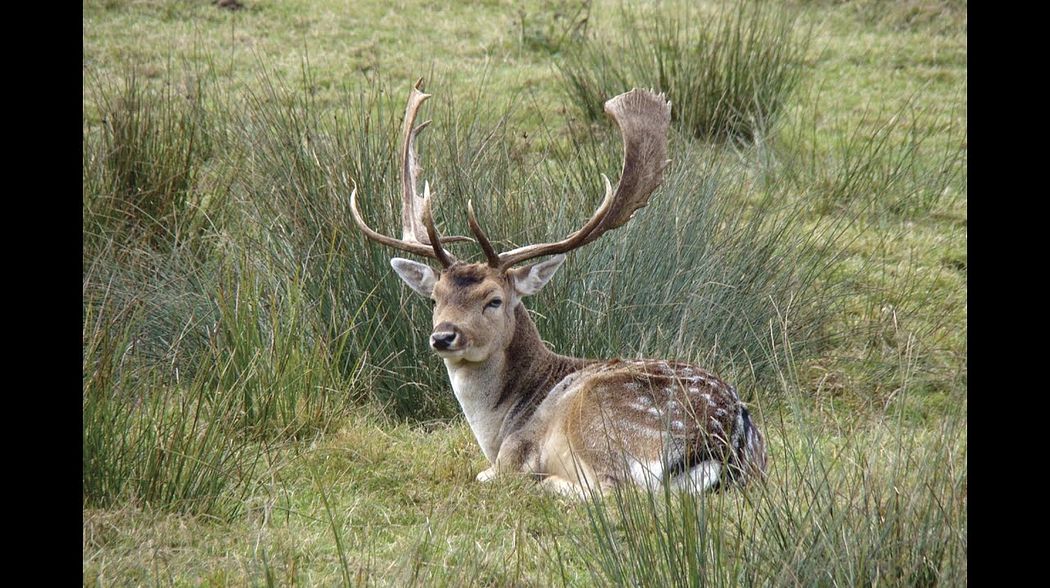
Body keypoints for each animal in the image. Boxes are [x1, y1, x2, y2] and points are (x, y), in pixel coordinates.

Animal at [348, 79, 768, 495]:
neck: (500, 425)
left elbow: (489, 473)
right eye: (435, 298)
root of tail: (725, 438)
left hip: (601, 422)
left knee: (616, 491)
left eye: (494, 300)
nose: (443, 336)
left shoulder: (514, 450)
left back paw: (549, 483)